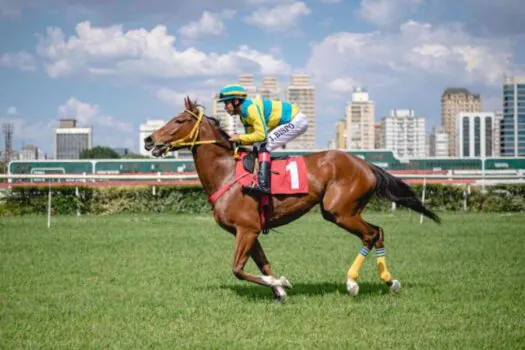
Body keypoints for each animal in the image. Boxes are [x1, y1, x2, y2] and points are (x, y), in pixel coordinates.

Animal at [142, 96, 438, 300]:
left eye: (179, 120)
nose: (148, 140)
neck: (226, 173)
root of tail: (365, 164)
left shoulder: (246, 229)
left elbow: (237, 269)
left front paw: (282, 284)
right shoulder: (251, 231)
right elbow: (263, 265)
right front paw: (279, 291)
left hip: (339, 211)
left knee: (372, 234)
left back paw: (355, 282)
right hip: (346, 211)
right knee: (377, 233)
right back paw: (389, 281)